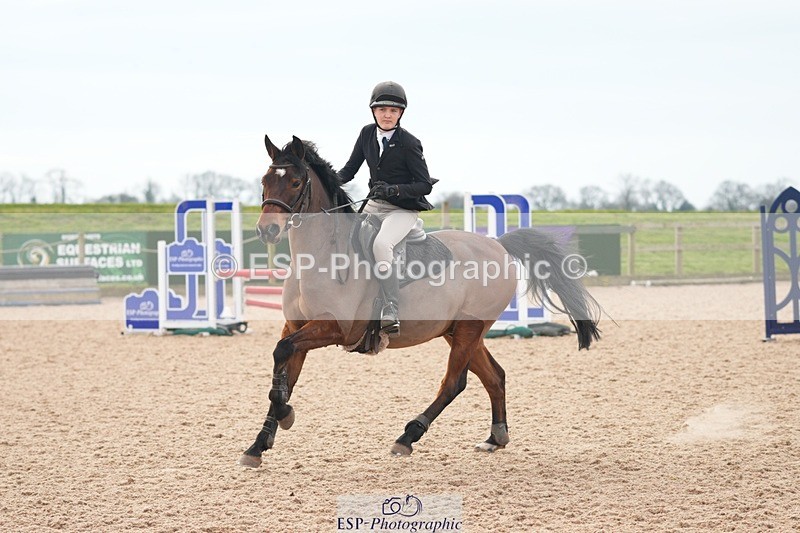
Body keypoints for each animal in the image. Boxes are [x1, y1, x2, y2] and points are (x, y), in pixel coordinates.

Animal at [238, 134, 601, 468]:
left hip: (470, 329)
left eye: (296, 182)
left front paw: (285, 415)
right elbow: (283, 373)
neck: (319, 257)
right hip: (458, 330)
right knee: (494, 376)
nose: (267, 230)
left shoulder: (334, 328)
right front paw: (258, 444)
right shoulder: (295, 326)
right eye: (265, 181)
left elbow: (281, 356)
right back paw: (495, 437)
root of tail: (498, 245)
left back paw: (408, 436)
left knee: (454, 382)